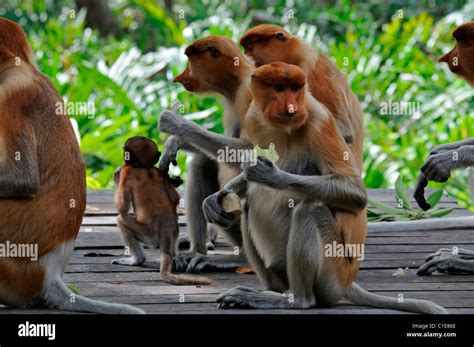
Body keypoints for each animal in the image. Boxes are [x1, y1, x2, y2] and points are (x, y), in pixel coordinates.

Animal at [112, 137, 212, 286]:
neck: (143, 167)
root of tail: (166, 233)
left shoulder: (127, 172)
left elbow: (122, 207)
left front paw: (117, 173)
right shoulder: (158, 171)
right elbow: (175, 198)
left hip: (149, 236)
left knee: (121, 219)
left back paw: (137, 260)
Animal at [160, 36, 256, 274]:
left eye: (191, 61)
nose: (179, 77)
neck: (237, 80)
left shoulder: (249, 93)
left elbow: (256, 153)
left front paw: (176, 124)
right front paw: (174, 141)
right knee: (202, 163)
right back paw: (195, 252)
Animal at [160, 63, 448, 316]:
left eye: (295, 88)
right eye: (279, 88)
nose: (292, 106)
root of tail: (348, 281)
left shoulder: (319, 121)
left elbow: (354, 192)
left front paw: (268, 174)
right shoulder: (254, 116)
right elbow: (243, 152)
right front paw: (216, 197)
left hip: (333, 275)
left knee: (309, 210)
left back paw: (295, 299)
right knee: (251, 207)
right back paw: (265, 292)